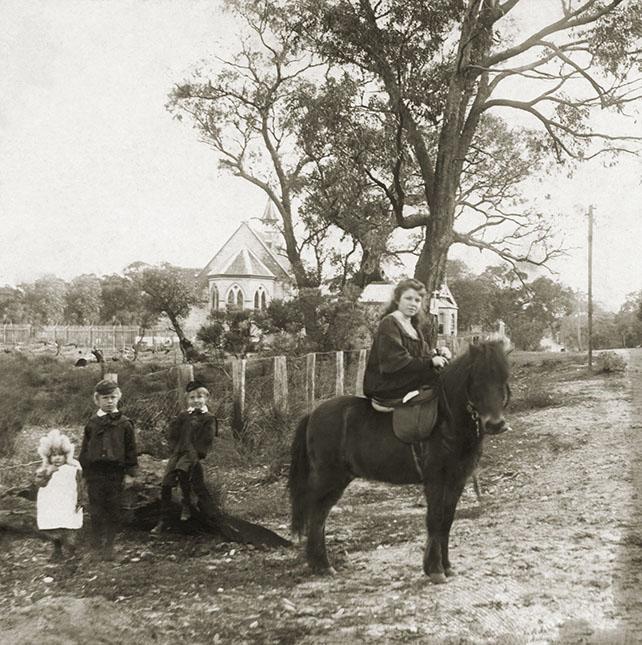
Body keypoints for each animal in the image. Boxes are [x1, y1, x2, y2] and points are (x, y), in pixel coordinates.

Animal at [288, 340, 508, 580]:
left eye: (504, 378)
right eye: (476, 379)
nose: (496, 424)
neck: (447, 420)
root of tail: (312, 414)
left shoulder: (456, 480)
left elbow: (447, 520)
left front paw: (446, 566)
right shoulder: (435, 480)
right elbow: (435, 519)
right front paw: (435, 569)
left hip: (338, 480)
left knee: (320, 516)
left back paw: (320, 564)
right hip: (328, 478)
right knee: (316, 515)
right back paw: (321, 564)